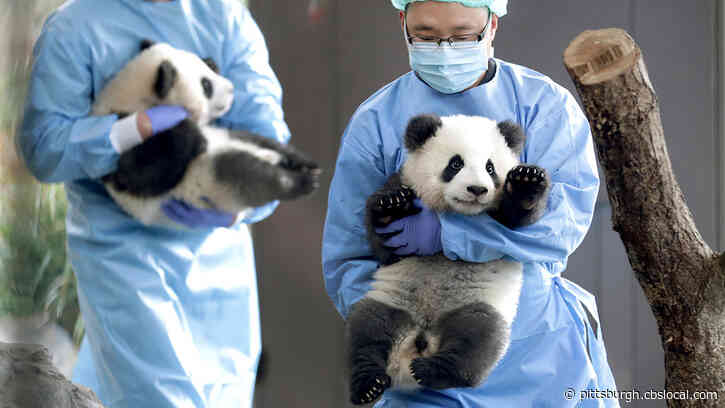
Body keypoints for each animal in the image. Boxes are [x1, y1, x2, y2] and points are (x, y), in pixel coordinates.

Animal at [92, 40, 320, 227]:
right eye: (206, 85)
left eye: (205, 67)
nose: (231, 89)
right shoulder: (119, 139)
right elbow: (147, 171)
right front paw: (189, 132)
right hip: (217, 178)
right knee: (257, 176)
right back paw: (301, 181)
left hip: (231, 137)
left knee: (264, 141)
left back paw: (303, 162)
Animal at [346, 114, 551, 405]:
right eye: (456, 163)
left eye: (490, 167)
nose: (477, 189)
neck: (454, 213)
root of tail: (421, 339)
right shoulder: (405, 181)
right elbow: (384, 244)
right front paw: (391, 205)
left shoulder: (504, 226)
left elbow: (516, 223)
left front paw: (527, 179)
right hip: (389, 301)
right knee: (367, 333)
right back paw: (369, 384)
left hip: (475, 305)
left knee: (477, 339)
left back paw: (432, 370)